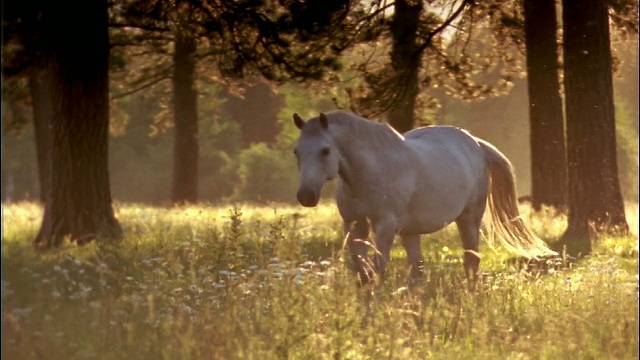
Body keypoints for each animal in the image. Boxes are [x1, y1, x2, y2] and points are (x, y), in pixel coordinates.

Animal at [292, 111, 556, 286]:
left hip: (469, 220)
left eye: (325, 150)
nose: (306, 195)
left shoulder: (385, 226)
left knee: (471, 262)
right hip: (411, 233)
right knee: (417, 270)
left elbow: (379, 266)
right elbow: (360, 267)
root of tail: (475, 143)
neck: (371, 171)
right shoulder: (353, 225)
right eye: (296, 151)